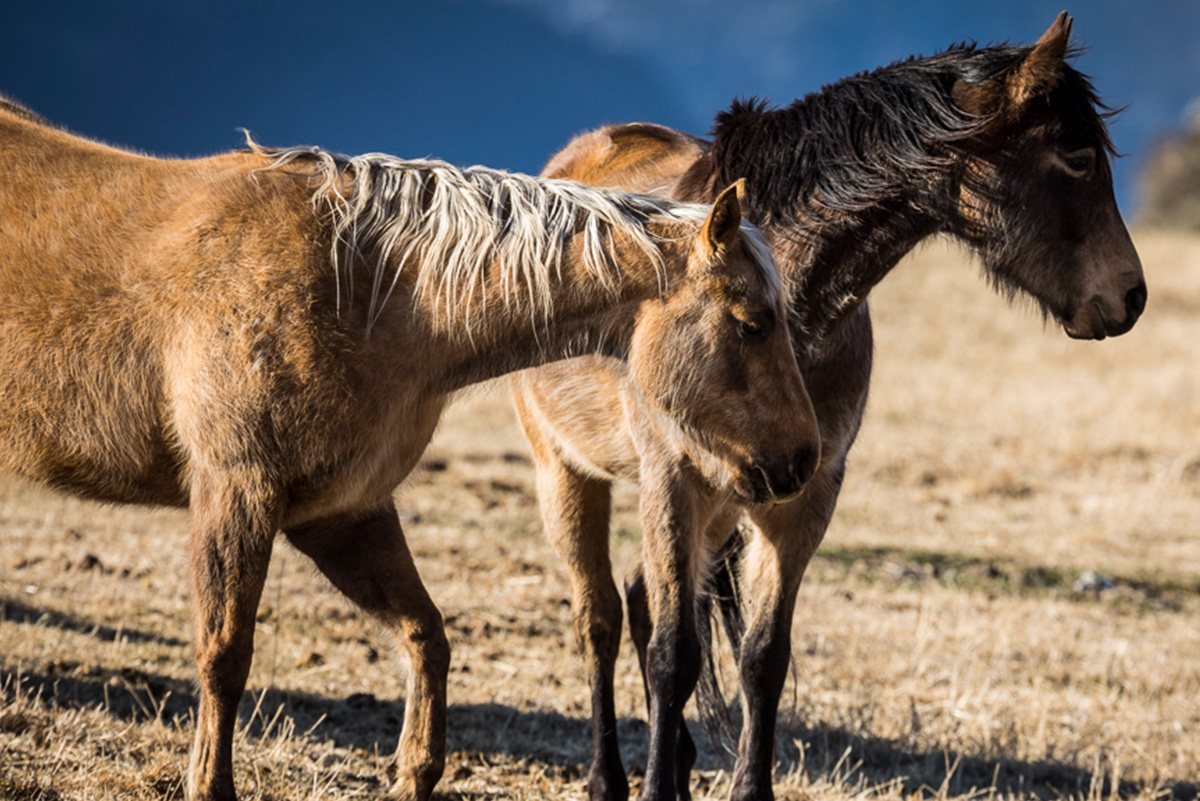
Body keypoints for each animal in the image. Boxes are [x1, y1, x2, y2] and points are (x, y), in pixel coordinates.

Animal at [0, 98, 816, 801]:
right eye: (751, 322)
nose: (803, 462)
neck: (365, 289)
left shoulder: (343, 513)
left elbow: (427, 635)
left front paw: (413, 773)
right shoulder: (238, 492)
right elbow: (225, 655)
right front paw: (212, 785)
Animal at [506, 15, 1142, 801]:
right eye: (1077, 156)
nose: (1131, 294)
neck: (788, 297)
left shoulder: (805, 492)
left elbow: (761, 659)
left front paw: (744, 787)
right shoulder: (673, 481)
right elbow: (673, 655)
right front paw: (653, 786)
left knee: (645, 601)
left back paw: (678, 760)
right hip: (565, 473)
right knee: (600, 615)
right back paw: (607, 776)